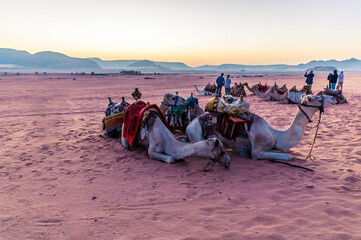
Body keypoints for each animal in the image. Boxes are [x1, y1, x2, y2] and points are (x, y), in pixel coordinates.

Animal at [187, 94, 336, 160]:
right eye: (319, 99)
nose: (334, 99)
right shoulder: (257, 151)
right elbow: (288, 156)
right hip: (196, 134)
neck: (276, 135)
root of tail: (190, 125)